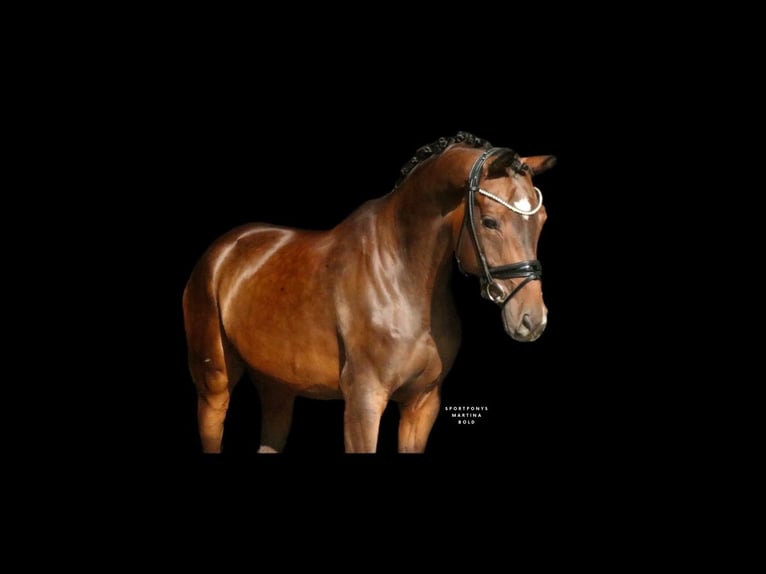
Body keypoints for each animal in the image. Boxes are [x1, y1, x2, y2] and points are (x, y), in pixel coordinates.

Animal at [183, 131, 556, 453]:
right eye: (491, 222)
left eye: (542, 221)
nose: (531, 319)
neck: (400, 275)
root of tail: (223, 250)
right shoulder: (364, 401)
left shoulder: (422, 403)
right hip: (214, 385)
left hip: (278, 388)